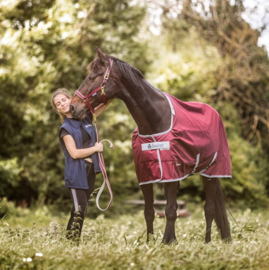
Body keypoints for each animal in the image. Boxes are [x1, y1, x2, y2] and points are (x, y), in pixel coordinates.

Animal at [69, 47, 230, 244]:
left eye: (93, 76)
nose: (72, 107)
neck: (156, 120)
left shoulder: (170, 175)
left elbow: (170, 210)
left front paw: (167, 241)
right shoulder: (146, 175)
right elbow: (149, 212)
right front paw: (151, 241)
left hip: (211, 173)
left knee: (209, 209)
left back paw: (207, 241)